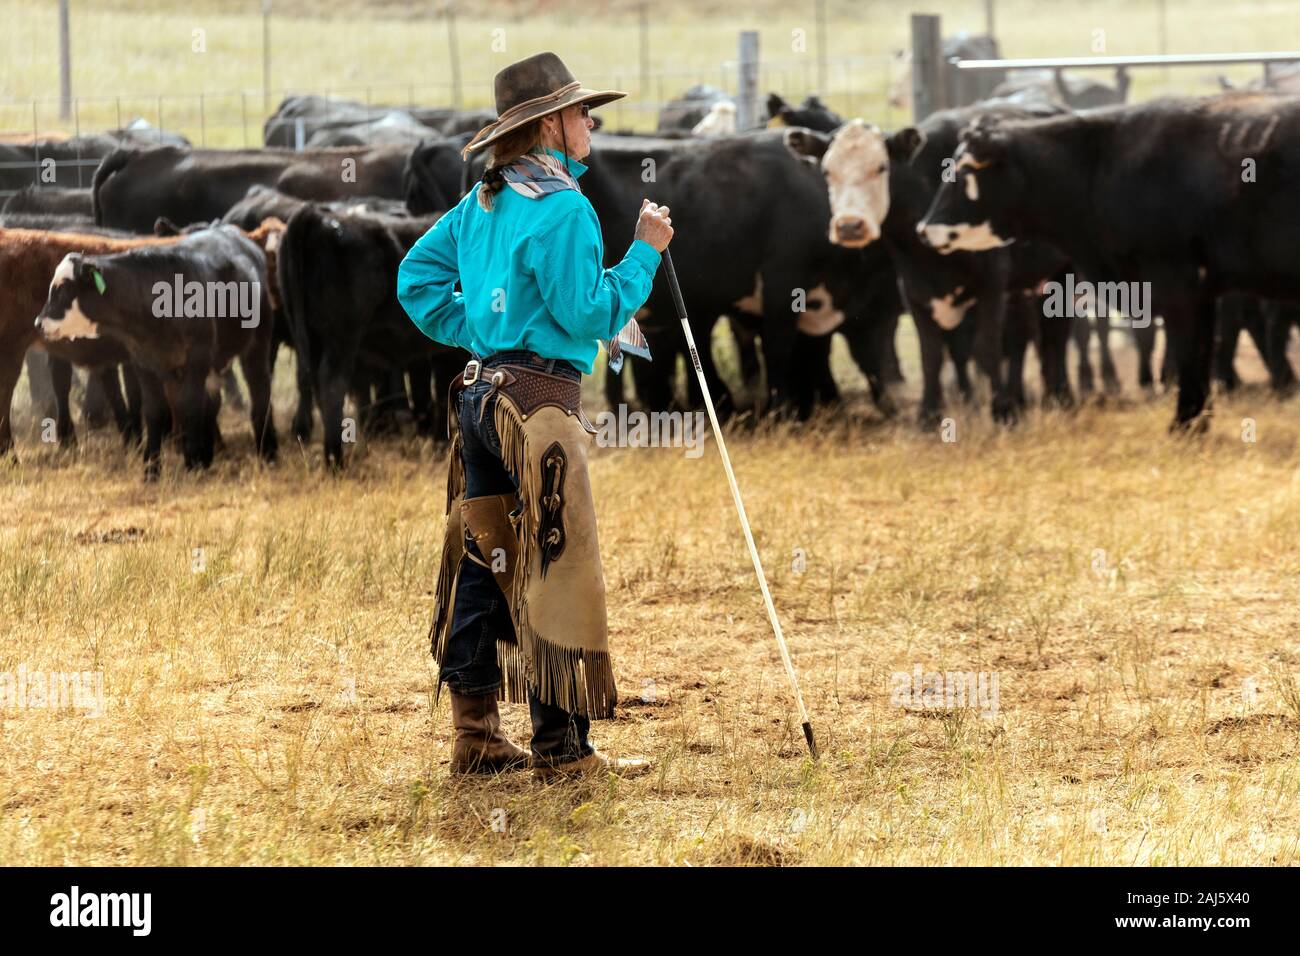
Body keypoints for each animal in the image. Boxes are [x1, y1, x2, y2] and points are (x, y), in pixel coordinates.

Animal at [915, 92, 1300, 429]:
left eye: (965, 171)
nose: (926, 229)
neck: (1099, 162)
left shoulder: (1177, 285)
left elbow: (1190, 356)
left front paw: (1182, 426)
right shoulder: (1202, 293)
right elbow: (1200, 356)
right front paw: (1194, 424)